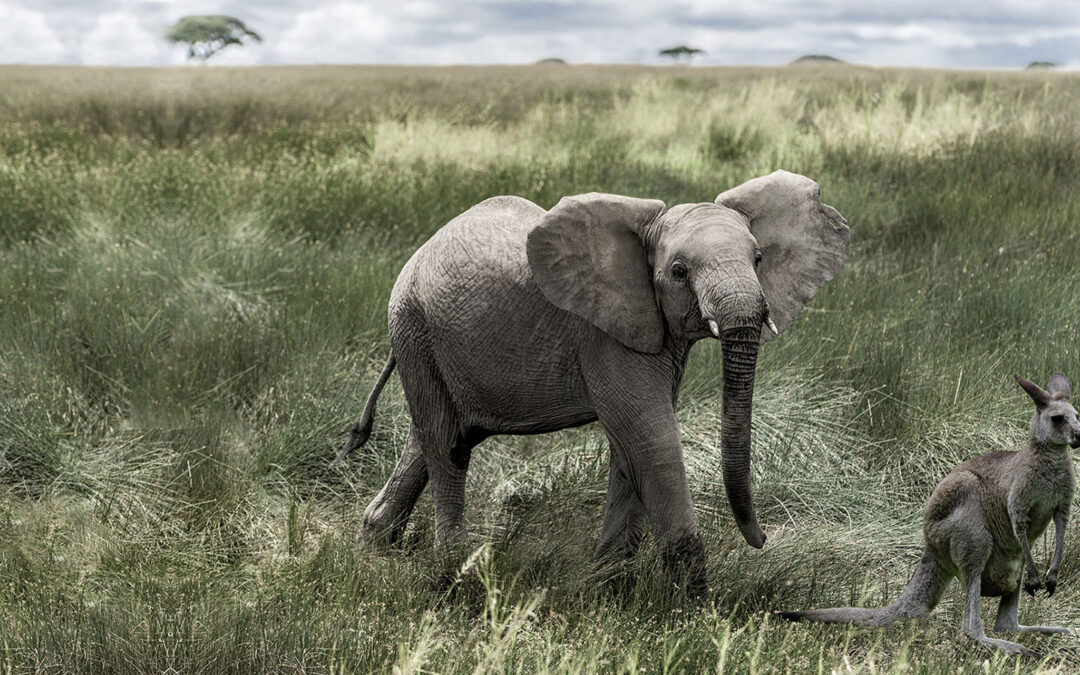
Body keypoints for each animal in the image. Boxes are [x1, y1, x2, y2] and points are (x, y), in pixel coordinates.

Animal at [336, 170, 851, 591]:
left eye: (759, 258)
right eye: (679, 272)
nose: (761, 539)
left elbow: (630, 447)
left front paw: (607, 583)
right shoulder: (603, 334)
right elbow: (650, 437)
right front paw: (690, 605)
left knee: (437, 437)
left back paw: (374, 547)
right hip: (413, 326)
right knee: (447, 445)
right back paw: (453, 569)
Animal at [786, 371, 1080, 656]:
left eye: (1077, 415)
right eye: (1057, 419)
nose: (1079, 436)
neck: (1050, 456)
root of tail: (931, 547)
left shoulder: (1063, 503)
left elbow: (1062, 527)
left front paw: (1051, 576)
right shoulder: (1017, 497)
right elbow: (1019, 521)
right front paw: (1038, 577)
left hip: (1010, 560)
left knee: (1006, 622)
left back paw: (1058, 631)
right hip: (969, 524)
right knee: (970, 624)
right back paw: (1008, 645)